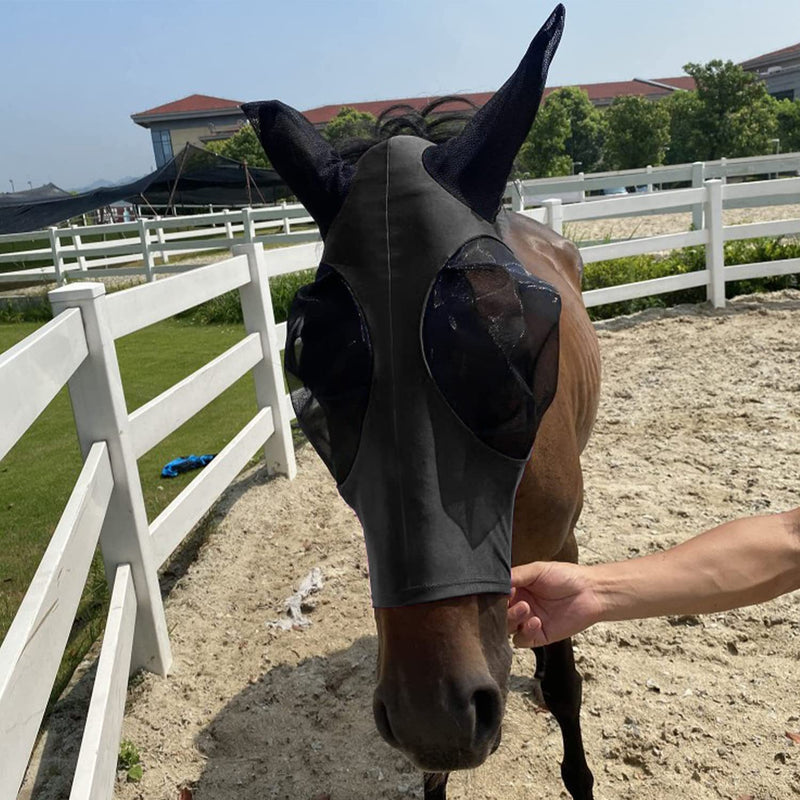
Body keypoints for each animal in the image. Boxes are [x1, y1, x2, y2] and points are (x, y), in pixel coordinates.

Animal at [243, 5, 601, 798]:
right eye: (319, 367)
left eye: (506, 351)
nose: (433, 713)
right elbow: (432, 769)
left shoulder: (559, 548)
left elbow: (567, 687)